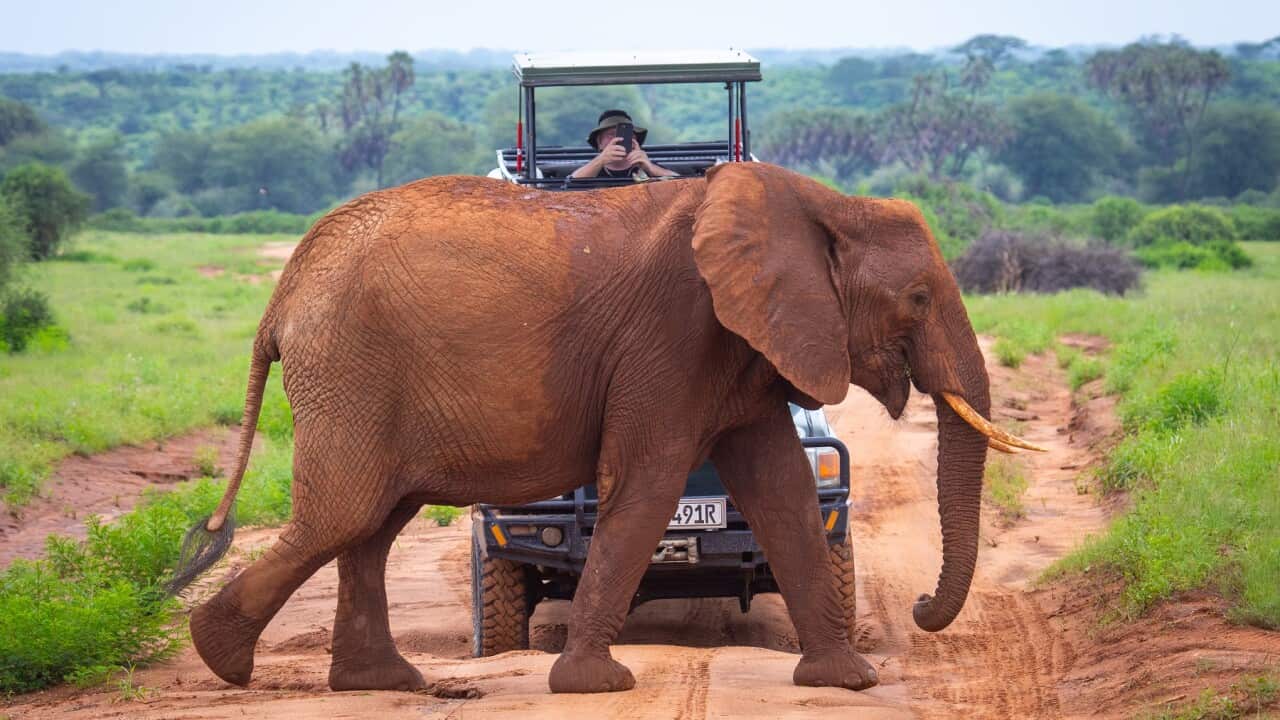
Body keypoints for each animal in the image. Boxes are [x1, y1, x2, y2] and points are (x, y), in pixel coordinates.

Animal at [170, 161, 1040, 695]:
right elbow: (648, 485)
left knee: (372, 525)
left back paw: (382, 683)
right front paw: (596, 684)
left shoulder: (741, 350)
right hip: (351, 369)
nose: (921, 605)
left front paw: (847, 680)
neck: (816, 202)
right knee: (344, 514)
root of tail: (283, 293)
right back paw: (222, 656)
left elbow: (785, 491)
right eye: (918, 300)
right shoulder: (673, 334)